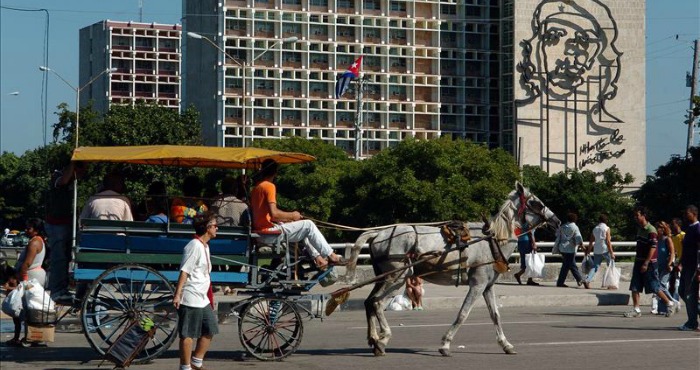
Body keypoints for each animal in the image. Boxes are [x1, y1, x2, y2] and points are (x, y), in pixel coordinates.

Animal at [342, 181, 560, 356]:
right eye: (537, 203)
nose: (557, 221)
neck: (492, 240)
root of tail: (378, 234)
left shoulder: (487, 286)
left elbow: (495, 315)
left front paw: (506, 344)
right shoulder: (477, 285)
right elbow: (463, 314)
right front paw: (445, 344)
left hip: (384, 278)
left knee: (369, 302)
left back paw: (373, 339)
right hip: (397, 277)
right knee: (377, 303)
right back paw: (383, 338)